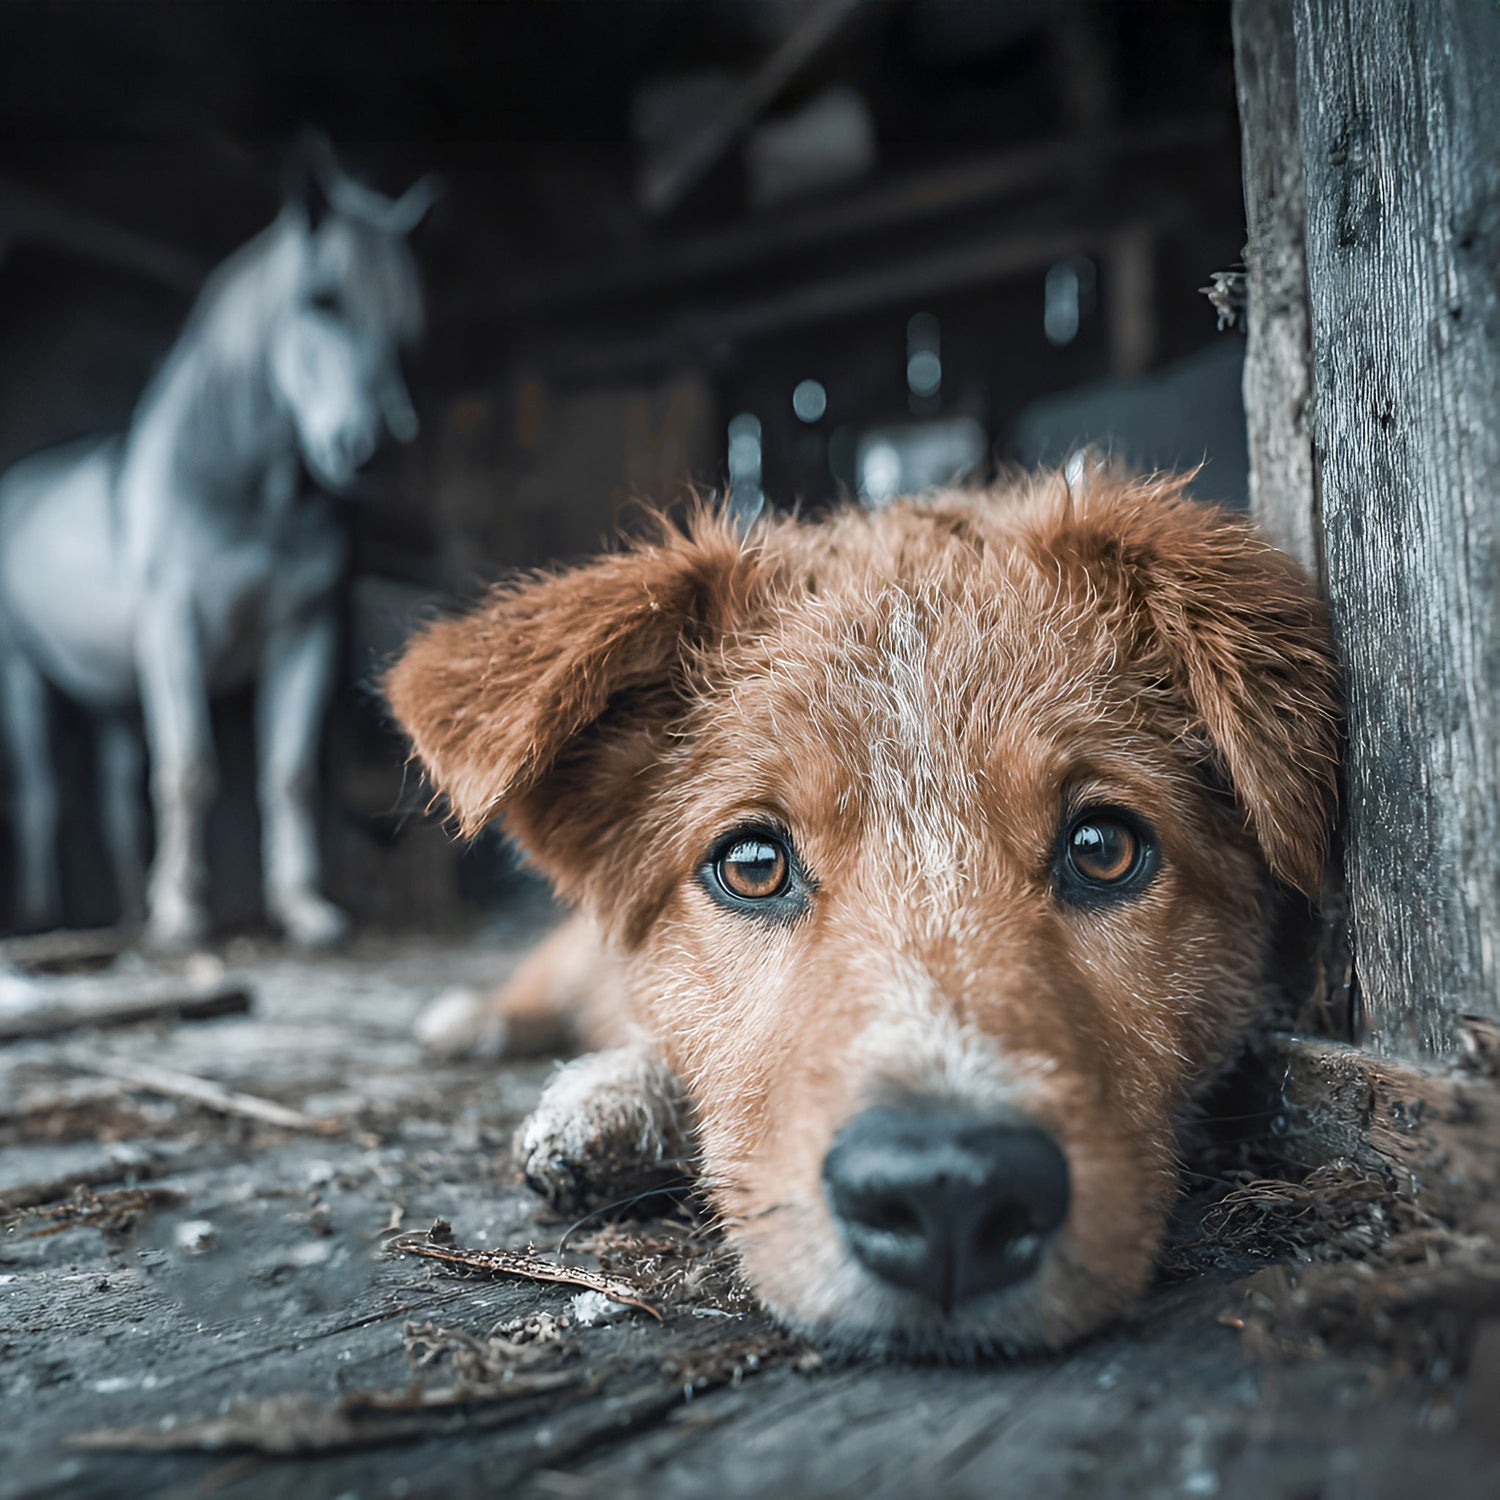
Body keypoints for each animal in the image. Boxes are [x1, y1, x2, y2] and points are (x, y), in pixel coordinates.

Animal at [0, 141, 433, 950]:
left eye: (407, 328)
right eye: (321, 300)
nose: (364, 452)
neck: (251, 494)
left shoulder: (306, 629)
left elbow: (289, 771)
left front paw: (303, 908)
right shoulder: (174, 624)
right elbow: (190, 768)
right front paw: (181, 917)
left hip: (115, 696)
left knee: (114, 798)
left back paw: (127, 908)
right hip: (21, 677)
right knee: (43, 795)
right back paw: (47, 914)